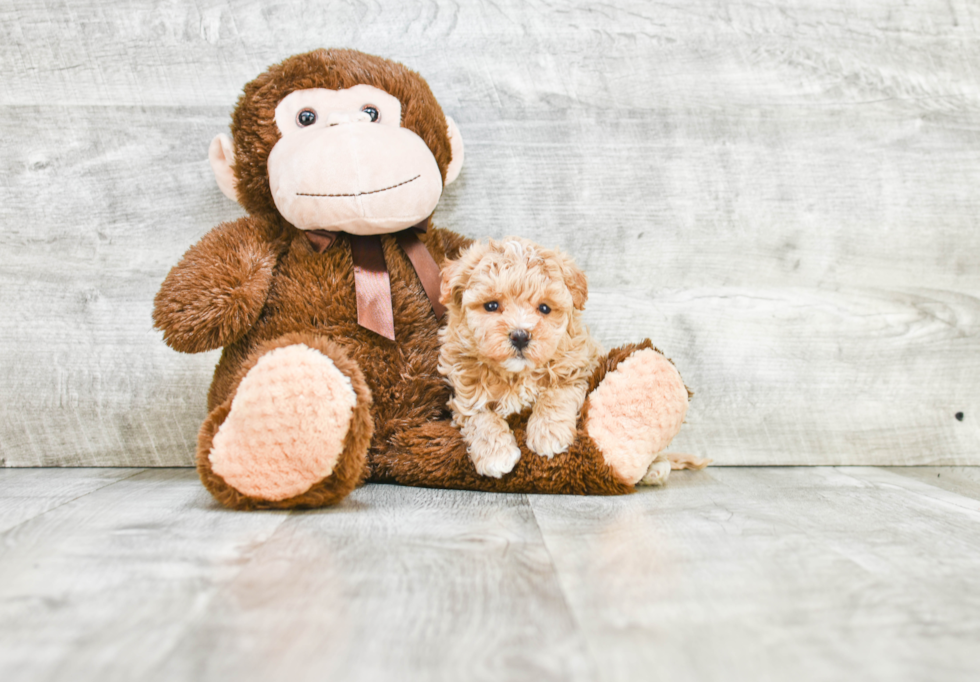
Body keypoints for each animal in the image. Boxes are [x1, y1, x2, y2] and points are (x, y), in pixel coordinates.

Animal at [438, 236, 604, 476]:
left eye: (544, 308)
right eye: (491, 305)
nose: (520, 336)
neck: (516, 375)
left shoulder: (576, 365)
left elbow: (555, 395)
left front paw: (548, 434)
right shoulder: (465, 388)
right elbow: (480, 416)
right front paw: (496, 454)